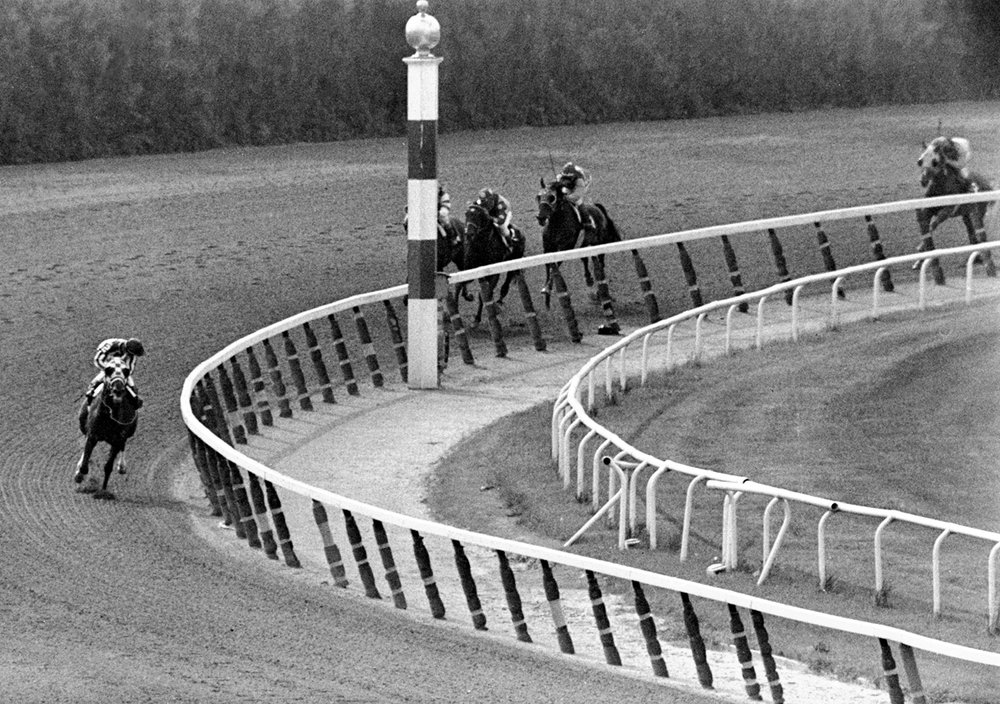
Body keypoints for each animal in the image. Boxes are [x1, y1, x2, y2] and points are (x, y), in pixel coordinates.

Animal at [74, 358, 139, 500]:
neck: (108, 416)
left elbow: (108, 466)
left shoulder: (117, 439)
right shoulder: (92, 435)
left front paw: (103, 491)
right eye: (109, 370)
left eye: (126, 371)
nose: (118, 389)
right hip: (82, 423)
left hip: (129, 431)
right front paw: (79, 475)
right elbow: (85, 465)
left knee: (123, 445)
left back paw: (122, 466)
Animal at [916, 136, 992, 282]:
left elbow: (933, 224)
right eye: (920, 161)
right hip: (966, 215)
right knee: (970, 229)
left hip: (978, 211)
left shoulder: (948, 211)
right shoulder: (929, 209)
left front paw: (919, 255)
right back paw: (977, 257)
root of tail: (988, 184)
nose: (923, 180)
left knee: (976, 228)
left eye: (935, 162)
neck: (941, 189)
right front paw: (918, 259)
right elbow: (927, 224)